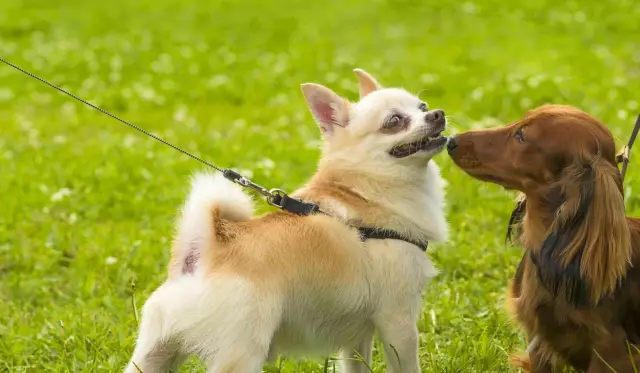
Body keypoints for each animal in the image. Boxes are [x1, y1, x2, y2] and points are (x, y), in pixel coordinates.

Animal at [125, 70, 450, 372]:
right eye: (394, 121)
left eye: (422, 106)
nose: (437, 114)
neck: (364, 188)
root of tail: (205, 250)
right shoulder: (399, 322)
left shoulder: (357, 338)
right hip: (241, 353)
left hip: (155, 353)